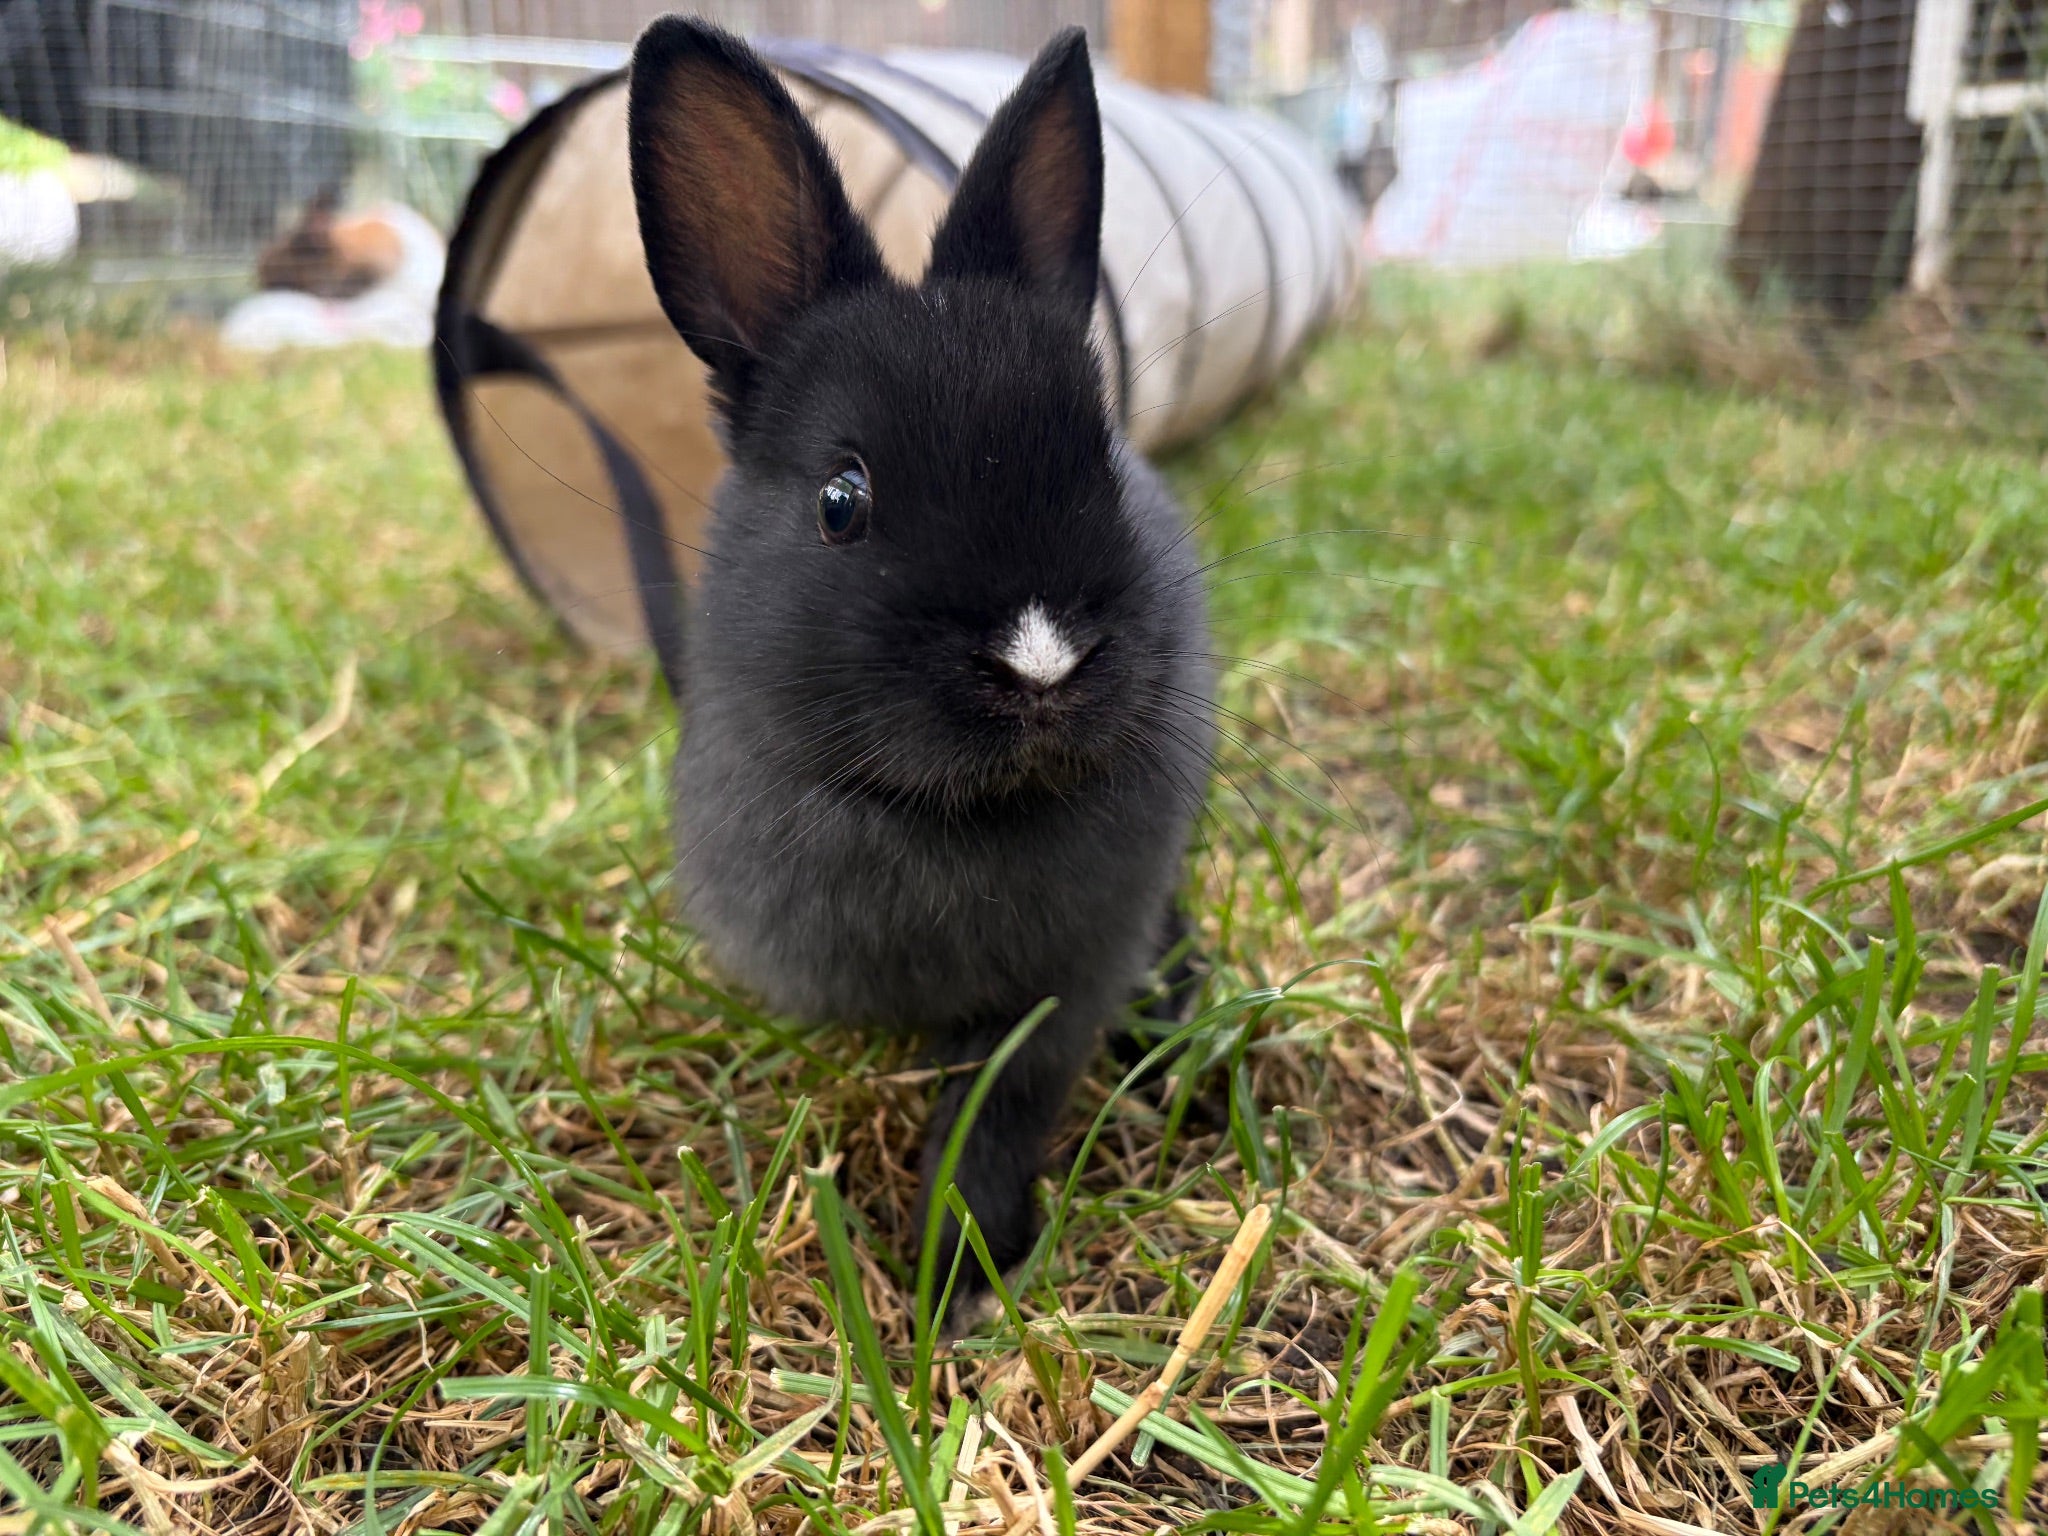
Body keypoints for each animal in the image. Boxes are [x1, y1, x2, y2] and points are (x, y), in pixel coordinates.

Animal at [626, 17, 1216, 1302]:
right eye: (841, 501)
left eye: (1102, 460)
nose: (1040, 666)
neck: (946, 822)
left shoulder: (1059, 986)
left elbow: (1000, 1101)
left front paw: (957, 1262)